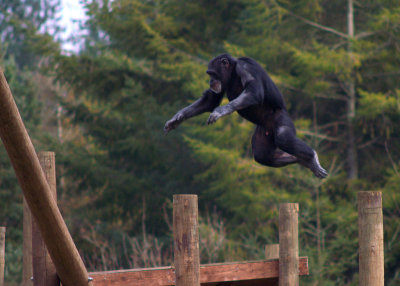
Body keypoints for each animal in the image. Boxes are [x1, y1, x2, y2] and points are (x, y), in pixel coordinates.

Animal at [163, 53, 328, 178]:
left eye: (212, 73)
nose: (210, 81)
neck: (233, 72)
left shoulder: (245, 68)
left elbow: (254, 91)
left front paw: (220, 111)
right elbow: (210, 100)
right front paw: (177, 118)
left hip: (282, 119)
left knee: (283, 137)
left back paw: (312, 158)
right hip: (264, 132)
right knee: (262, 155)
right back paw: (303, 161)